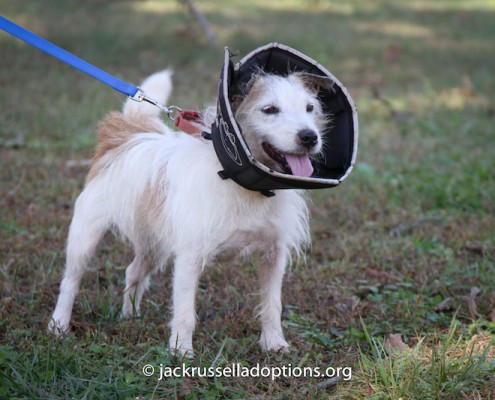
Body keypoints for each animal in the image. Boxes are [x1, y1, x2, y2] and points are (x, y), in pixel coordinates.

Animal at [47, 69, 334, 356]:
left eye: (309, 108)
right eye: (270, 109)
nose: (310, 137)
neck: (242, 182)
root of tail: (128, 133)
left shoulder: (274, 255)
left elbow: (272, 304)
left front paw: (274, 343)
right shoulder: (190, 258)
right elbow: (185, 311)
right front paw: (181, 351)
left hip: (152, 245)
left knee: (133, 272)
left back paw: (130, 317)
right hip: (85, 238)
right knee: (70, 282)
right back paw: (58, 325)